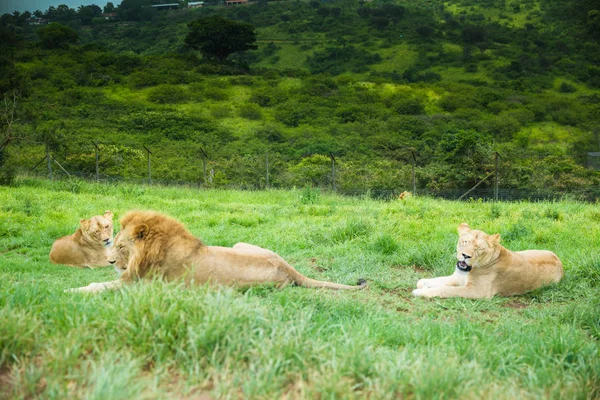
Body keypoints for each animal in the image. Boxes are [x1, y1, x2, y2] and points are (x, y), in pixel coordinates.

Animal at [67, 209, 366, 294]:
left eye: (120, 246)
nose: (110, 262)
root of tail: (288, 268)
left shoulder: (144, 286)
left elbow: (98, 286)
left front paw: (70, 291)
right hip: (241, 244)